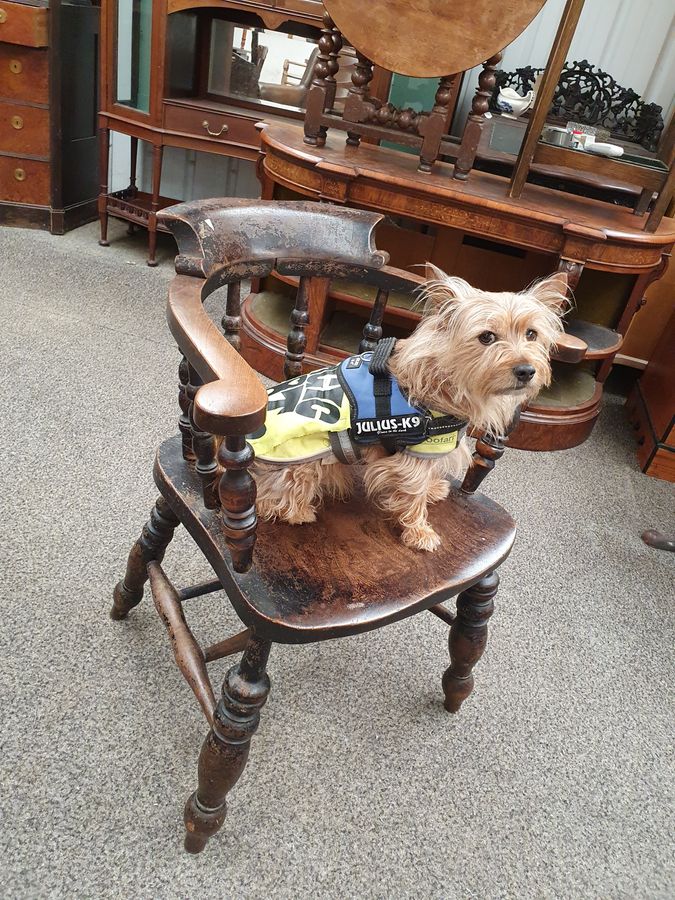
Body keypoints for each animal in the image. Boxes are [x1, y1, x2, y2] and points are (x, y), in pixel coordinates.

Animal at [251, 268, 568, 548]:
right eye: (487, 337)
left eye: (531, 334)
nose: (526, 371)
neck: (445, 380)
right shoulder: (414, 457)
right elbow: (414, 493)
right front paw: (419, 532)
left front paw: (434, 490)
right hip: (303, 460)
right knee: (267, 497)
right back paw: (297, 511)